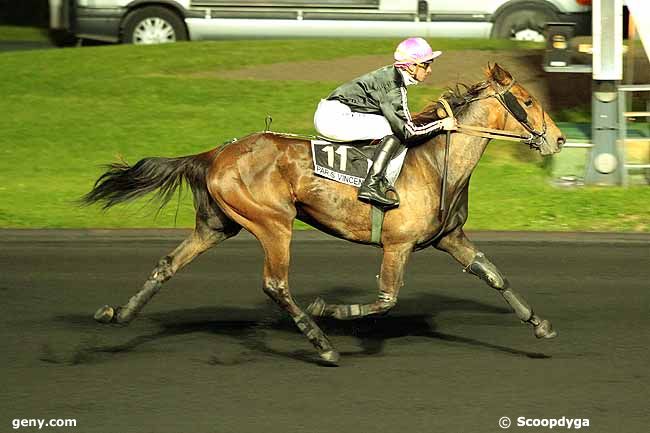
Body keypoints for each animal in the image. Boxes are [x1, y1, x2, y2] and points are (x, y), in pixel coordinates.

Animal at [85, 63, 560, 364]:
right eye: (526, 100)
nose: (556, 139)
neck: (435, 161)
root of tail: (215, 153)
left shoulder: (449, 237)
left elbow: (492, 274)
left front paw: (539, 325)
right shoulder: (398, 244)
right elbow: (386, 299)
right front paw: (328, 310)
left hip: (218, 225)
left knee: (168, 264)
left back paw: (118, 314)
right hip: (273, 222)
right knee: (276, 285)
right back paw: (322, 342)